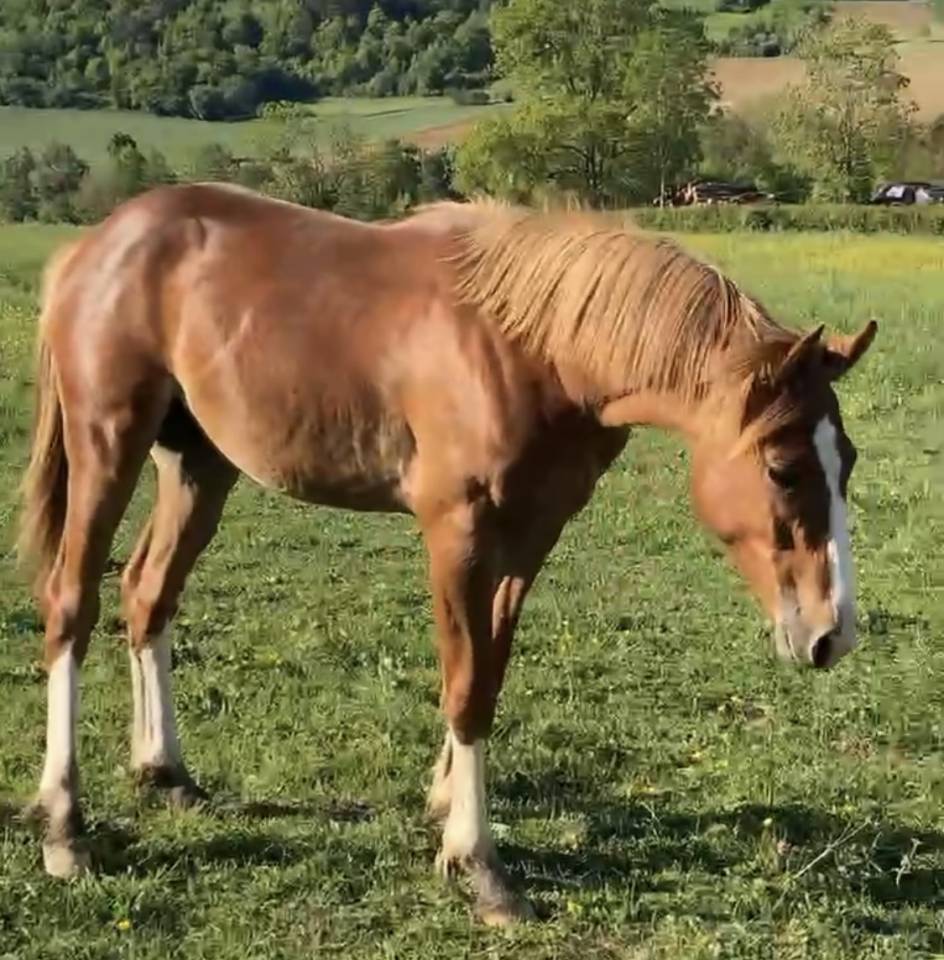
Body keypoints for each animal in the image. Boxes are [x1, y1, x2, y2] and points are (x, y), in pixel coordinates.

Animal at [17, 184, 876, 925]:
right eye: (783, 468)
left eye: (849, 460)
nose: (831, 635)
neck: (536, 350)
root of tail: (95, 245)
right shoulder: (457, 533)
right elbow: (465, 685)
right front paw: (478, 865)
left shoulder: (530, 535)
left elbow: (487, 675)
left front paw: (445, 806)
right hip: (108, 441)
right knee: (72, 604)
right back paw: (64, 830)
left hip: (198, 463)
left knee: (147, 594)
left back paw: (163, 773)